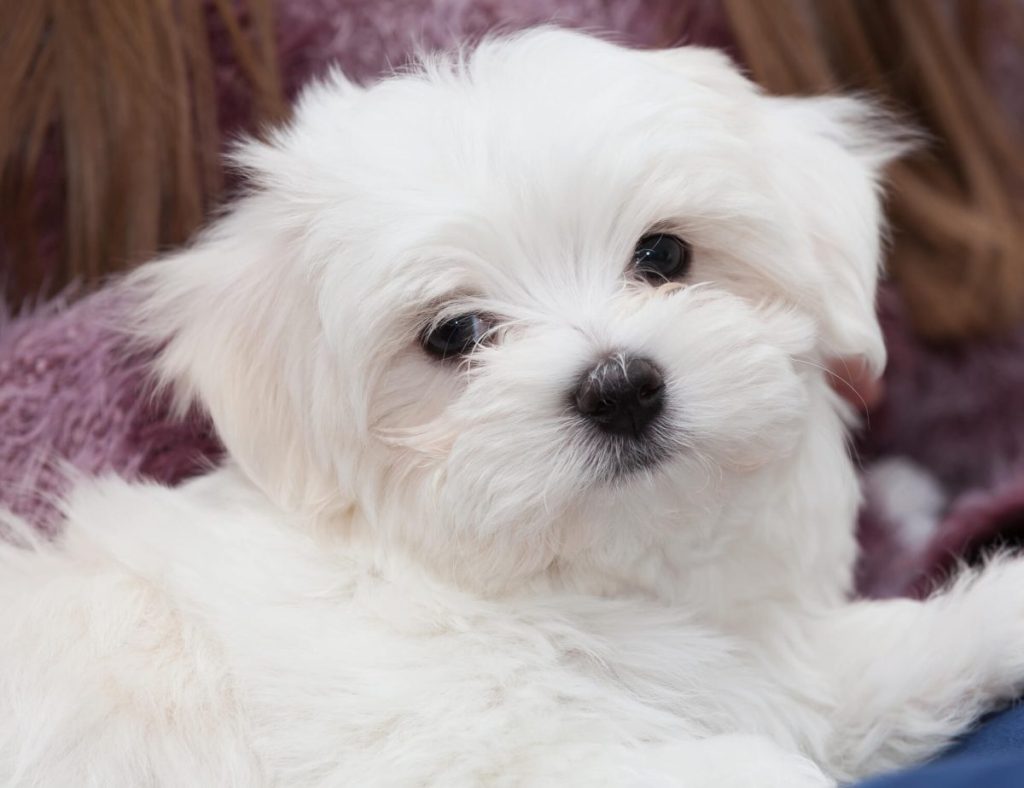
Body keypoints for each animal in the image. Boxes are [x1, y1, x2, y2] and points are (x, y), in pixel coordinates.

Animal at [2, 27, 1024, 781]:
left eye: (663, 254)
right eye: (455, 334)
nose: (620, 387)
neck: (548, 584)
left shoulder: (754, 669)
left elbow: (843, 675)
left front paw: (1000, 611)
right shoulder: (448, 748)